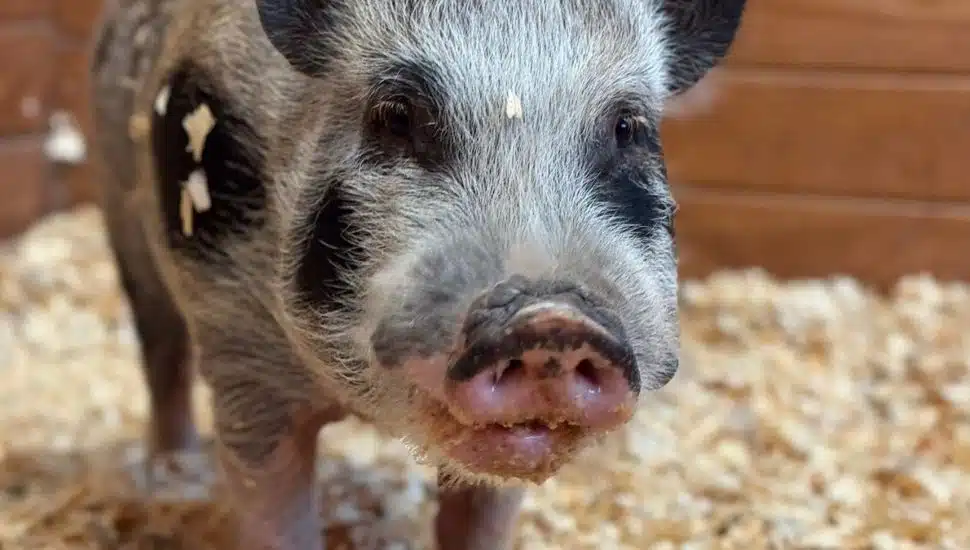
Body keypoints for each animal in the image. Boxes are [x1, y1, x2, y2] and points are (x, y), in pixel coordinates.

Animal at [89, 1, 747, 548]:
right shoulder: (239, 352)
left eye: (627, 129)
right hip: (123, 220)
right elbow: (271, 503)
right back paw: (174, 476)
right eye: (396, 115)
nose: (550, 317)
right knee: (162, 354)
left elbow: (478, 517)